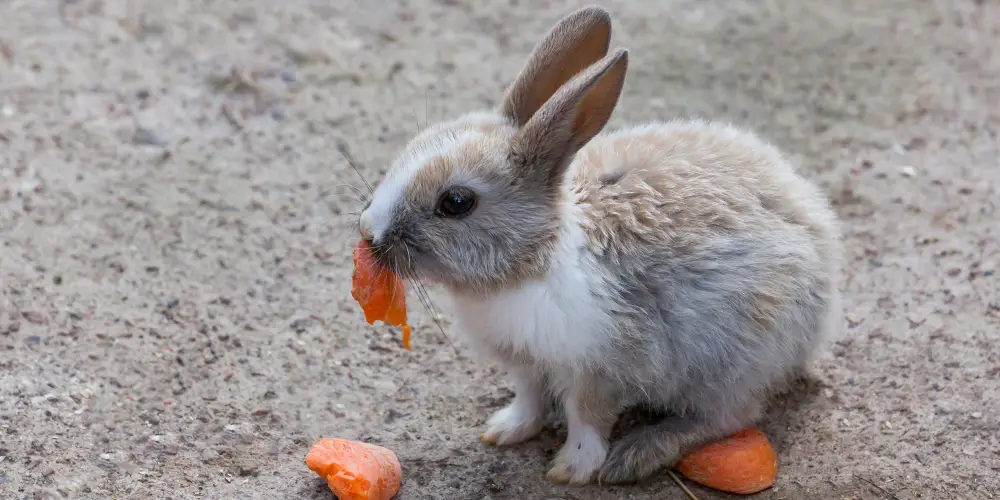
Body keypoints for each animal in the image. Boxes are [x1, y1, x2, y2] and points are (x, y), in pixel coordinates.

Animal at [356, 3, 840, 486]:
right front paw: (504, 430)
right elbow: (530, 398)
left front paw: (572, 469)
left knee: (730, 416)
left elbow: (586, 417)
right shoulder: (526, 363)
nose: (369, 234)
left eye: (456, 202)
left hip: (732, 361)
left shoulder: (601, 368)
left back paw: (638, 454)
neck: (534, 257)